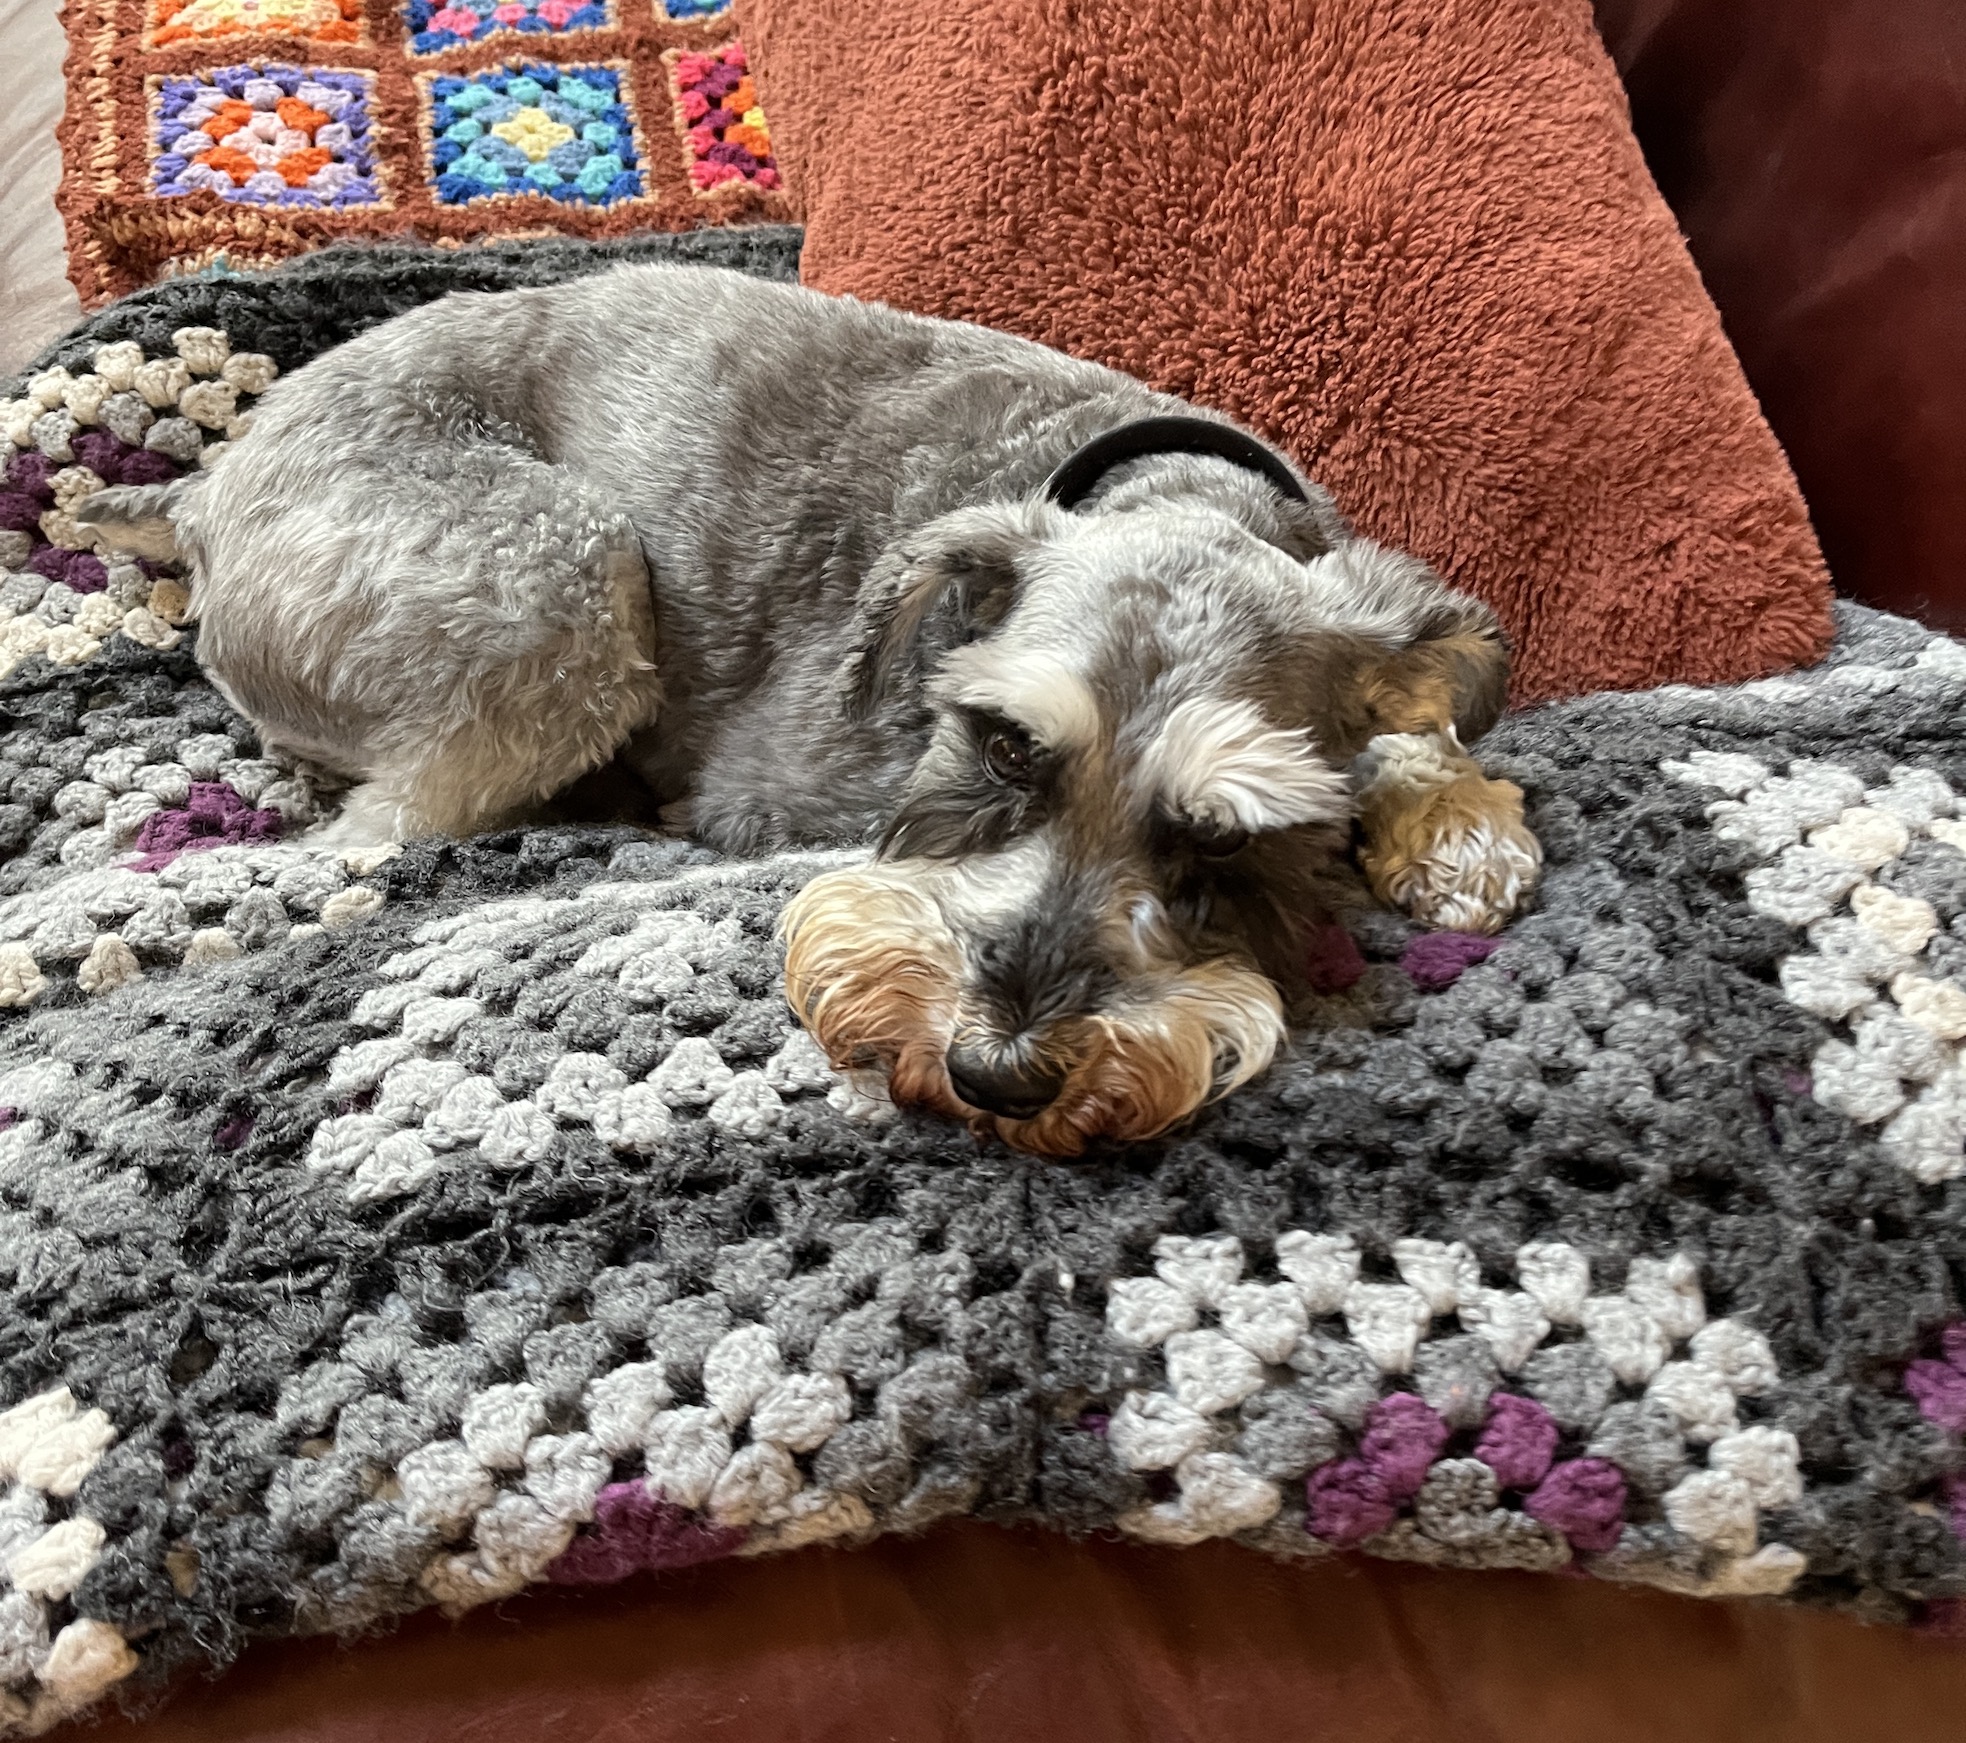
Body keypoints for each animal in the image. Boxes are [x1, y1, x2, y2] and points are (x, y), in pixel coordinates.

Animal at [79, 262, 1540, 1158]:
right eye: (999, 742)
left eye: (1225, 835)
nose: (1000, 1072)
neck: (1181, 490)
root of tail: (205, 488)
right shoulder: (775, 789)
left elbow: (1413, 703)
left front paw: (1459, 818)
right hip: (566, 589)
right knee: (380, 827)